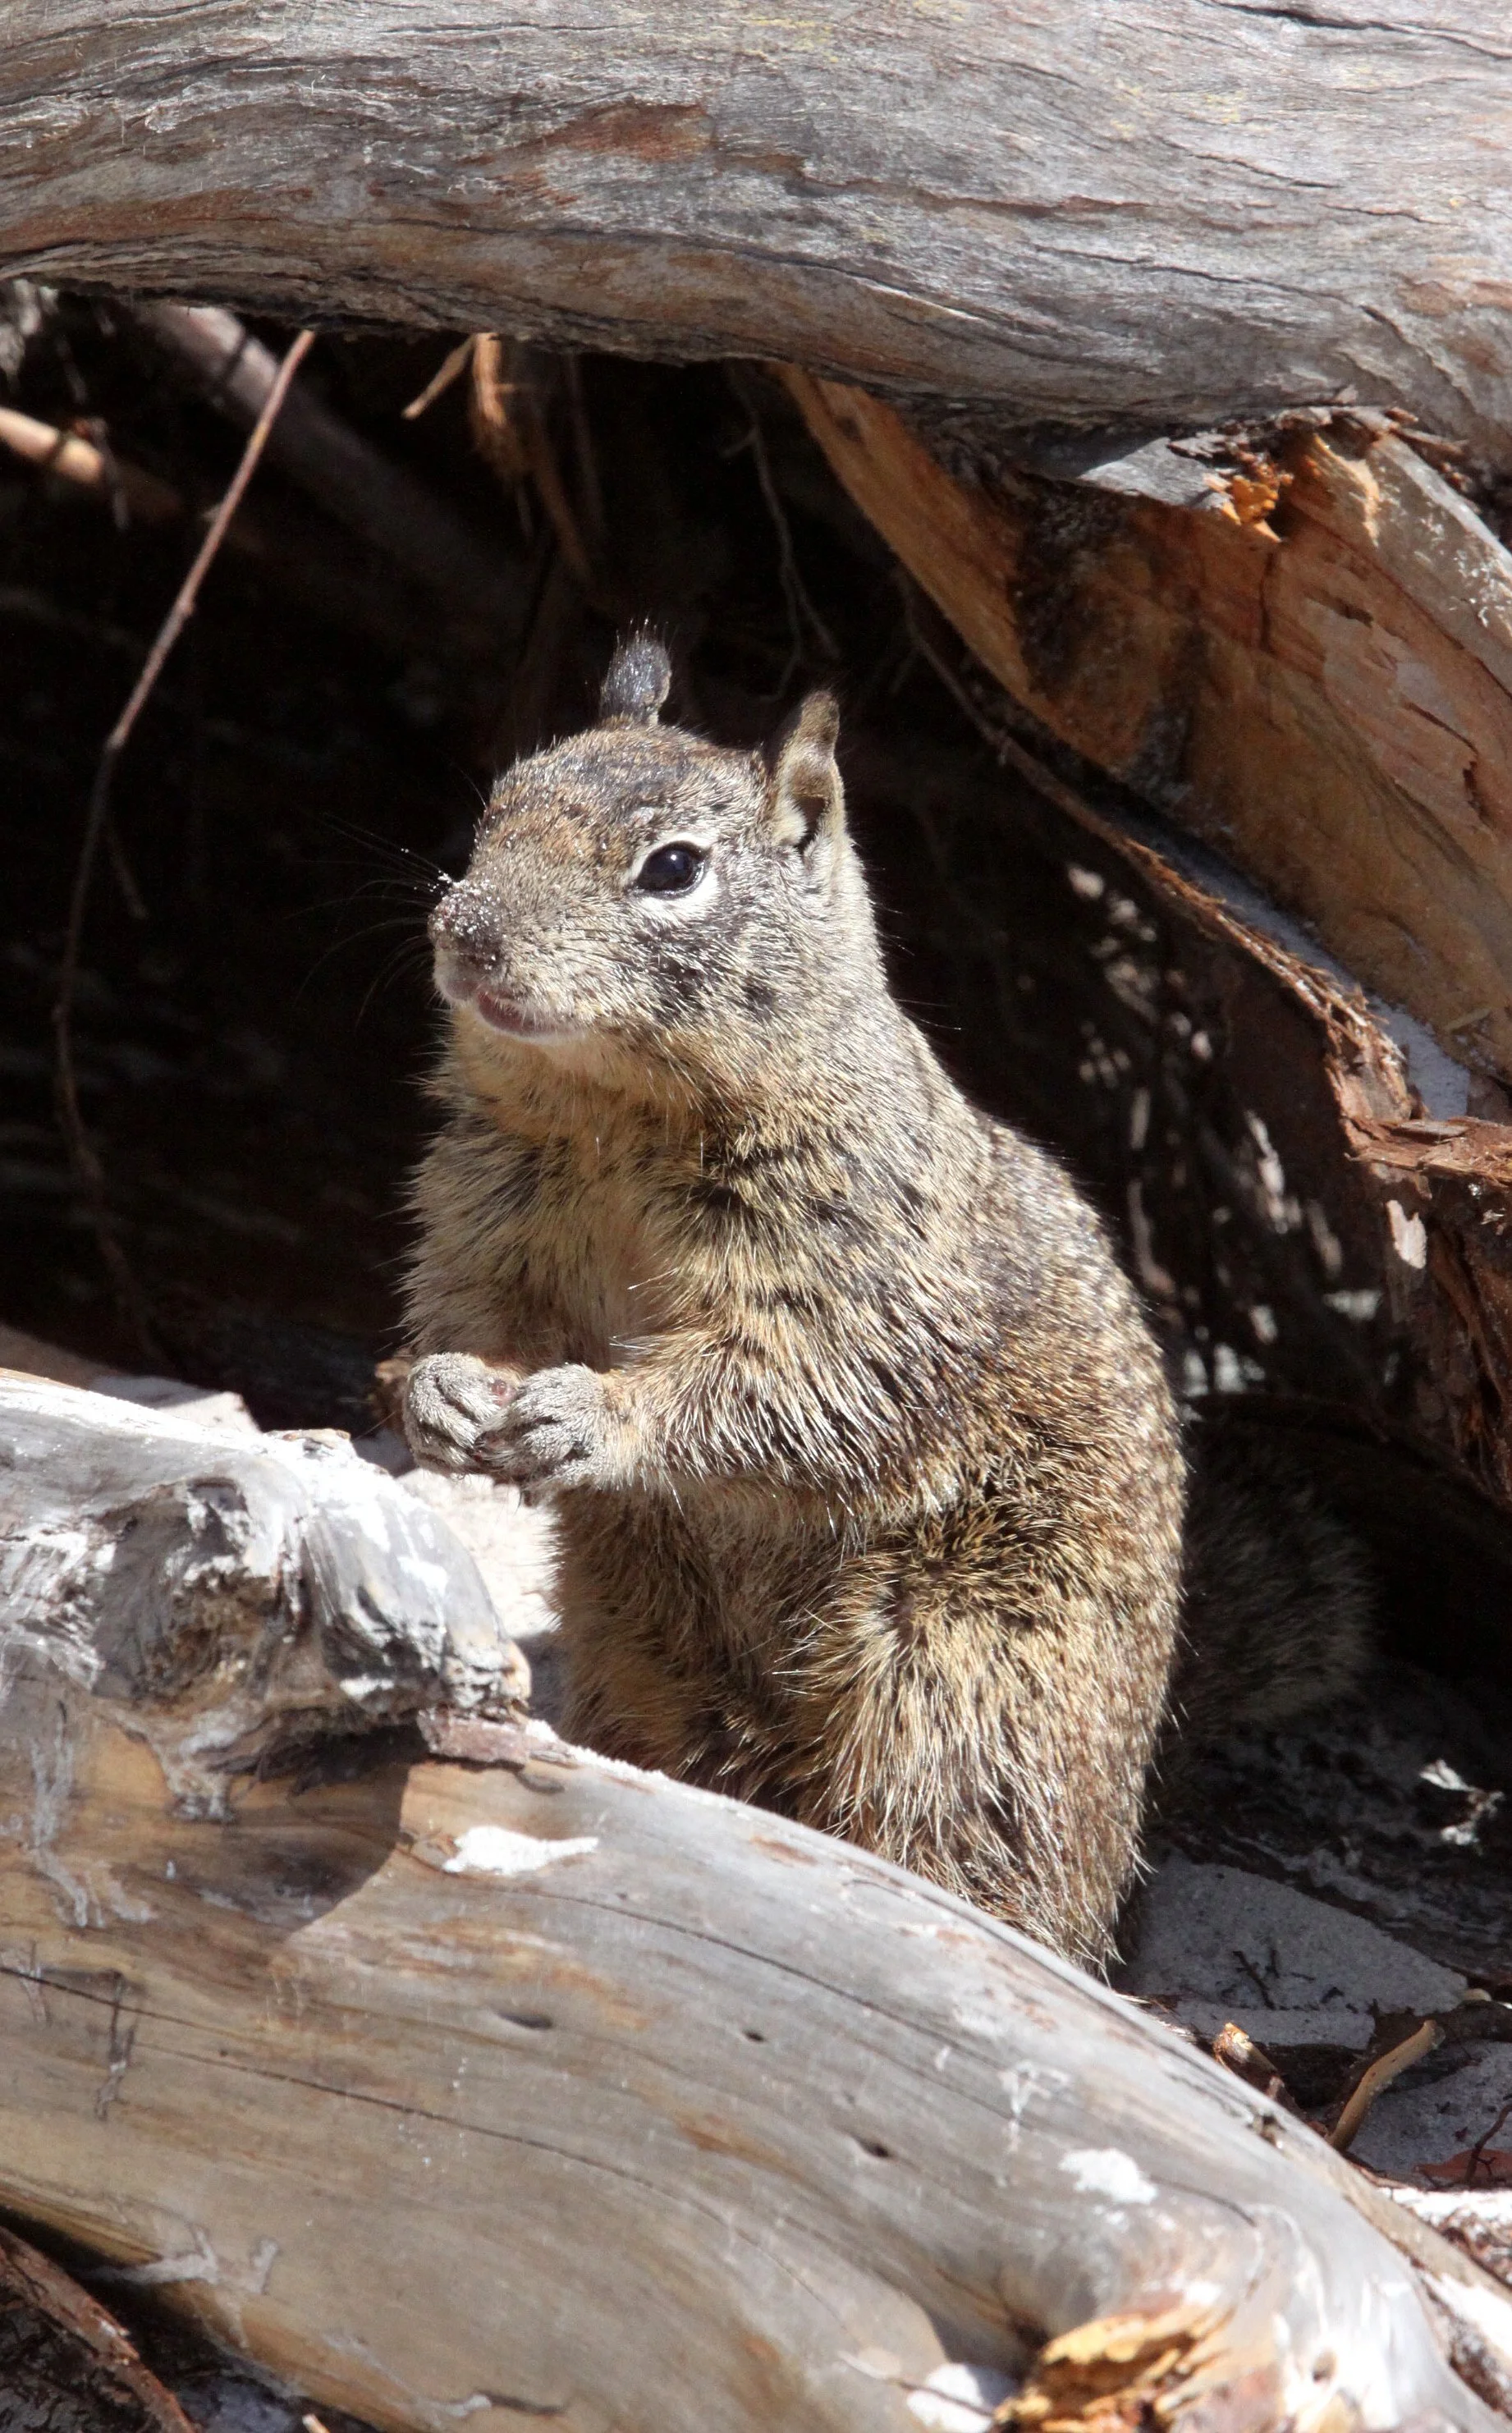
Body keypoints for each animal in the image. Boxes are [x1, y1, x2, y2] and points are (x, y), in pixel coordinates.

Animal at [402, 639, 1369, 1972]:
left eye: (673, 868)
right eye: (499, 805)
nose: (467, 933)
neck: (614, 1122)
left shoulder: (853, 1273)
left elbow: (789, 1387)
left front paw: (593, 1416)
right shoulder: (490, 1217)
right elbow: (470, 1308)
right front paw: (440, 1393)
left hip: (953, 1682)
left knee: (972, 1862)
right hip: (645, 1647)